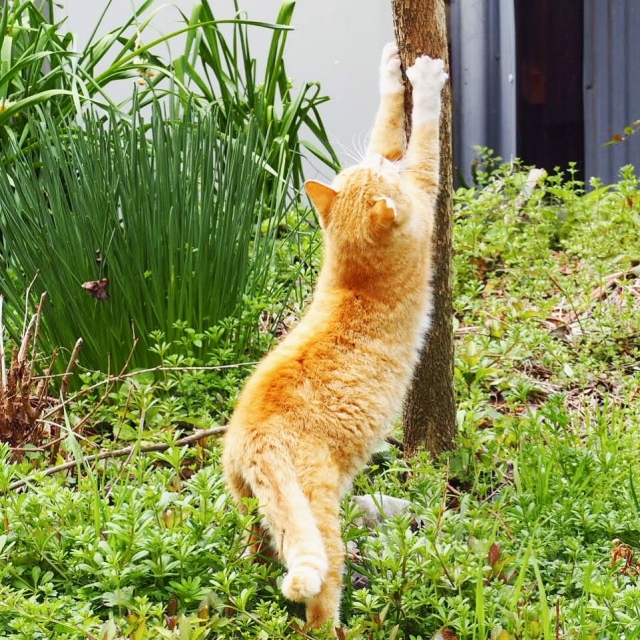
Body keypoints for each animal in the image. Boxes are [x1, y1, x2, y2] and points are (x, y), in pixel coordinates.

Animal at [222, 43, 448, 632]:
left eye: (361, 169)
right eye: (376, 175)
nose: (381, 165)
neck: (351, 273)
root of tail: (254, 437)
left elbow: (389, 120)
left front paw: (392, 69)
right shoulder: (424, 183)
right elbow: (425, 135)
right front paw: (427, 78)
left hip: (249, 507)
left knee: (257, 550)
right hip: (321, 520)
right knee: (318, 599)